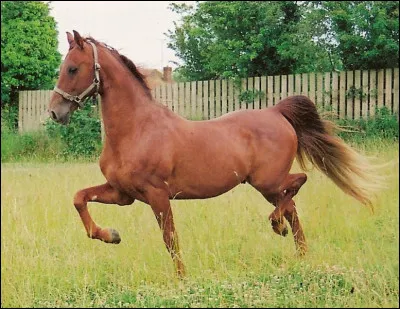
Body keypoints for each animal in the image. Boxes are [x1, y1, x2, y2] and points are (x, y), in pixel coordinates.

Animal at [48, 30, 380, 276]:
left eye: (73, 68)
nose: (55, 112)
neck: (137, 129)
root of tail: (276, 112)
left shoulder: (157, 195)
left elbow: (170, 239)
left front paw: (182, 280)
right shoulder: (122, 194)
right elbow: (79, 198)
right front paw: (110, 235)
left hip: (267, 182)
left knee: (297, 184)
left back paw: (277, 226)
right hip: (268, 186)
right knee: (293, 207)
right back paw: (299, 252)